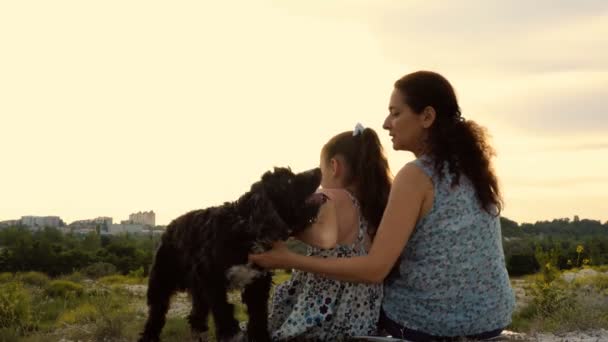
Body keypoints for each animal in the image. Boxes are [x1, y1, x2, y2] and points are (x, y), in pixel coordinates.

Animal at [138, 168, 324, 342]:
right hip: (162, 281)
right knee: (156, 313)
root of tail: (170, 226)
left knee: (196, 315)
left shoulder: (257, 283)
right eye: (287, 180)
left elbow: (258, 318)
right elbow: (223, 309)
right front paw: (230, 333)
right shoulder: (211, 280)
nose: (318, 170)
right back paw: (149, 336)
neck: (246, 227)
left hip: (197, 288)